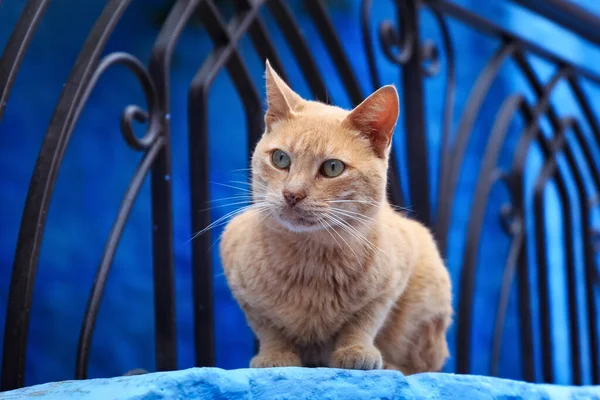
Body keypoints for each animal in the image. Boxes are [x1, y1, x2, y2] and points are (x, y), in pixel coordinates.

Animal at [219, 61, 450, 374]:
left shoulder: (393, 278)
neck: (309, 261)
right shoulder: (241, 285)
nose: (292, 194)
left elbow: (364, 319)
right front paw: (275, 355)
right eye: (280, 159)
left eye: (332, 168)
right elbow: (268, 327)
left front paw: (356, 350)